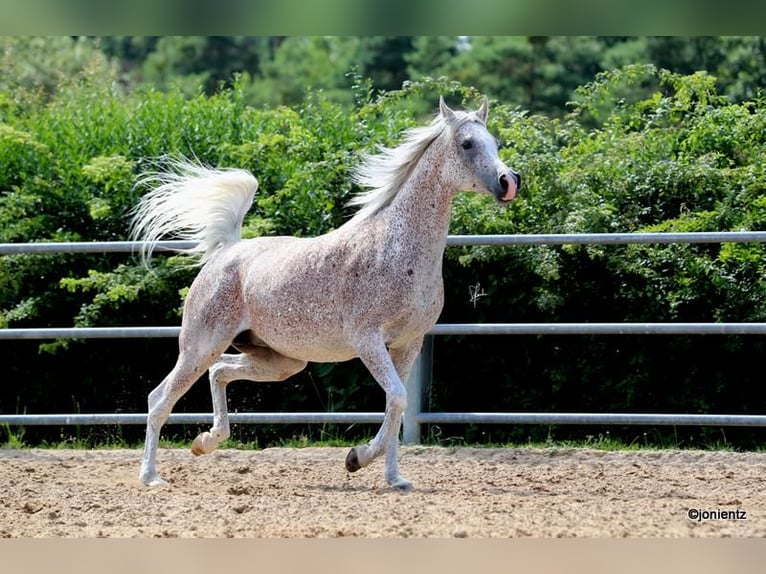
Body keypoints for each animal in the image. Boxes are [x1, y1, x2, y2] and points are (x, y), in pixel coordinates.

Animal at [134, 98, 520, 490]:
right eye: (467, 144)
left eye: (495, 142)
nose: (509, 183)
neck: (395, 246)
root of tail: (228, 250)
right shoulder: (368, 340)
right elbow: (397, 399)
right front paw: (357, 458)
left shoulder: (408, 344)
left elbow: (397, 406)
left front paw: (394, 478)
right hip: (201, 345)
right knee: (160, 398)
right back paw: (151, 476)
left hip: (281, 361)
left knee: (220, 372)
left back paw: (206, 442)